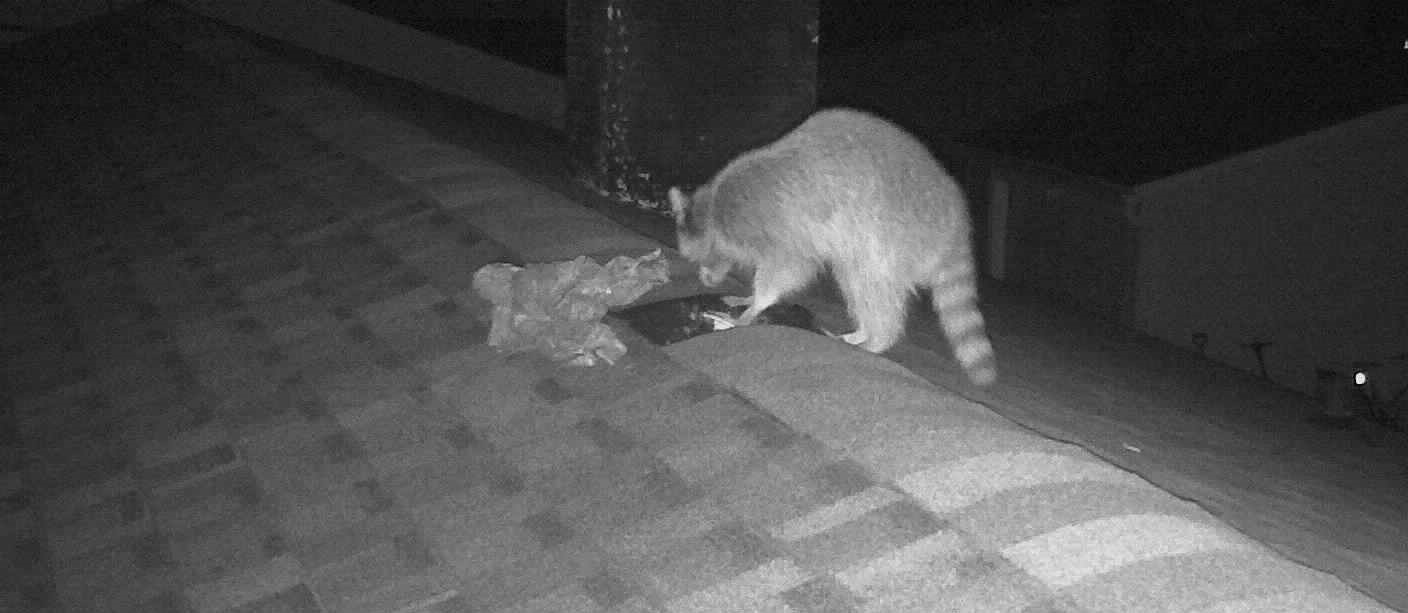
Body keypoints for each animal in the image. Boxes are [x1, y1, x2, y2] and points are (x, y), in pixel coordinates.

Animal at [668, 108, 997, 386]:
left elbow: (789, 267)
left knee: (872, 287)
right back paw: (865, 331)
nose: (705, 279)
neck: (711, 210)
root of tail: (956, 219)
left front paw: (756, 304)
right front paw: (748, 297)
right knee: (854, 281)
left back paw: (879, 337)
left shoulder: (774, 228)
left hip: (893, 235)